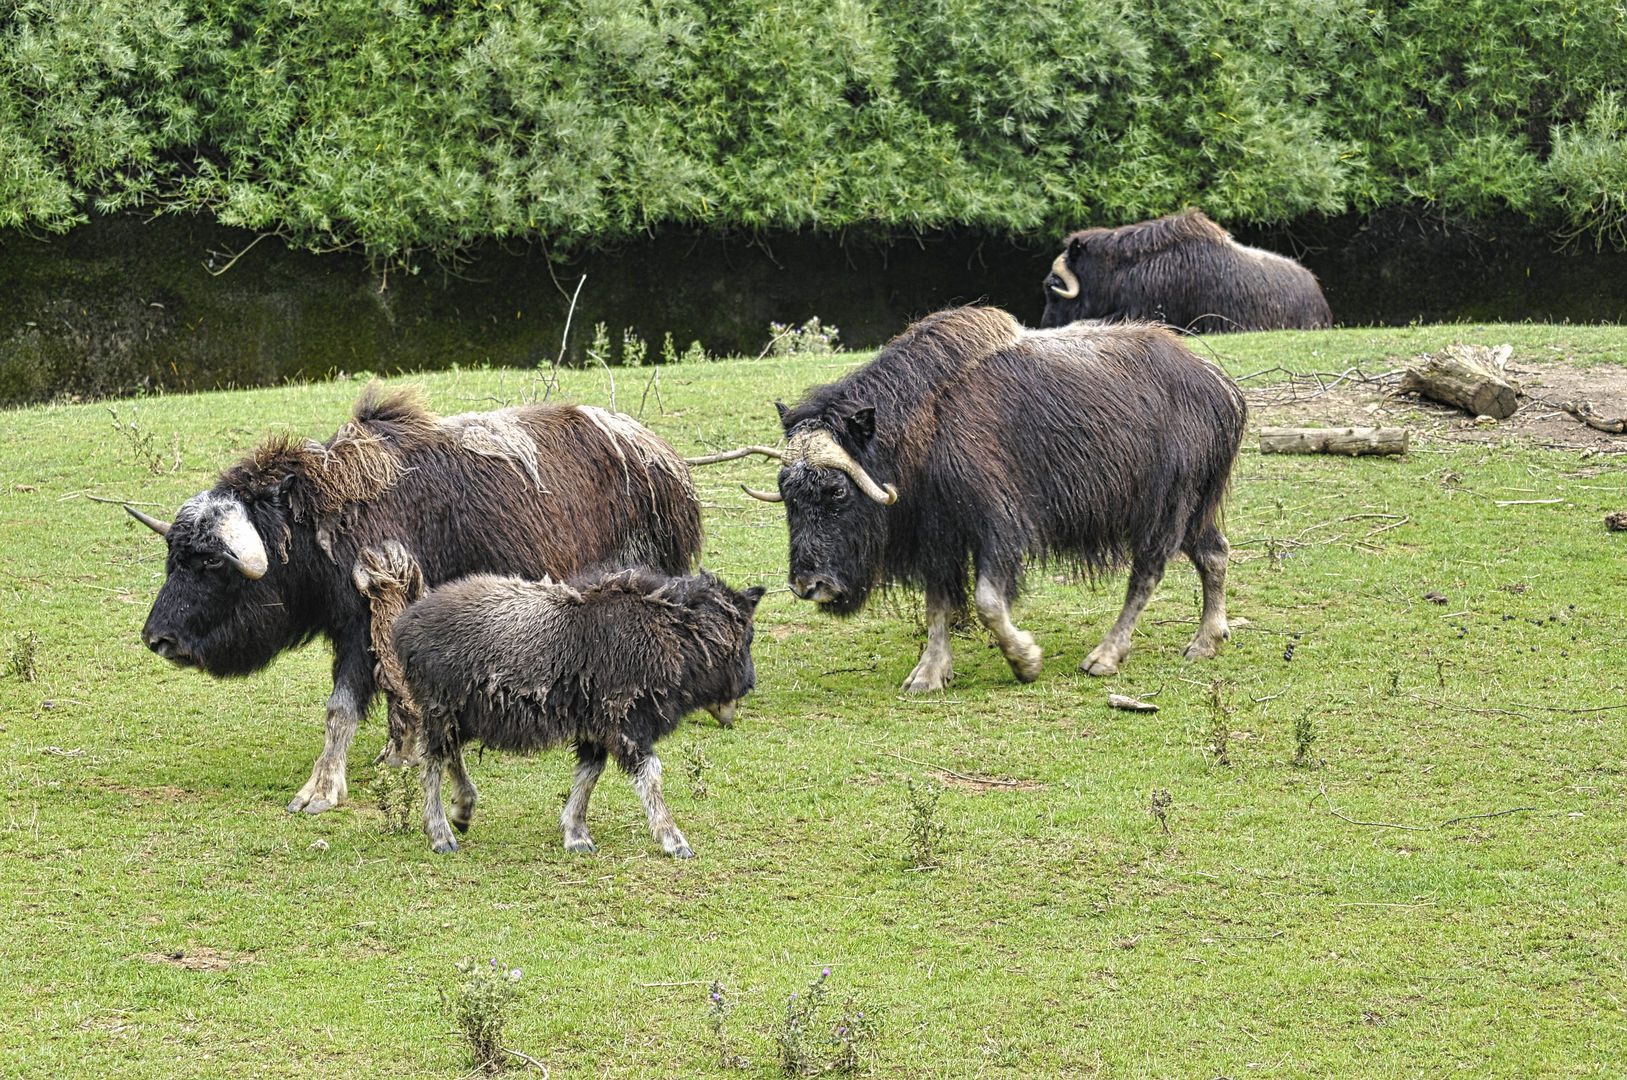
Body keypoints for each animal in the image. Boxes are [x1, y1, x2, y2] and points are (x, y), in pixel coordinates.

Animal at [128, 383, 702, 815]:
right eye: (174, 556)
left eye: (212, 563)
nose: (157, 639)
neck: (315, 519)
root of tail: (661, 453)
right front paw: (396, 753)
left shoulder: (368, 618)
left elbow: (343, 706)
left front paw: (319, 791)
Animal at [391, 568, 765, 857]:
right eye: (748, 634)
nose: (749, 683)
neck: (672, 630)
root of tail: (405, 625)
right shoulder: (625, 722)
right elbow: (650, 775)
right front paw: (674, 841)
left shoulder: (597, 727)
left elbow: (589, 774)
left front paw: (576, 834)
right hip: (441, 707)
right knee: (433, 761)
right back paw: (441, 835)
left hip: (463, 713)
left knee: (451, 752)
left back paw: (464, 810)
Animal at [744, 306, 1246, 691]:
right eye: (787, 493)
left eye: (836, 490)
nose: (808, 586)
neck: (923, 429)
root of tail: (1219, 384)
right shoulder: (937, 535)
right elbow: (937, 604)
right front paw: (927, 675)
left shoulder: (999, 522)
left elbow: (986, 601)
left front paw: (1026, 661)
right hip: (1195, 506)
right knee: (1214, 553)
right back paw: (1205, 643)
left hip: (1166, 505)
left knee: (1148, 571)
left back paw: (1103, 657)